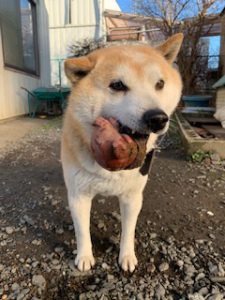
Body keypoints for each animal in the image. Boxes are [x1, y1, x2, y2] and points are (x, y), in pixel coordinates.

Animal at [61, 32, 183, 272]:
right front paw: (84, 257)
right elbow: (82, 232)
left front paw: (126, 256)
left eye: (160, 84)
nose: (158, 118)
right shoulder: (78, 196)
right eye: (117, 85)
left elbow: (128, 230)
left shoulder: (132, 196)